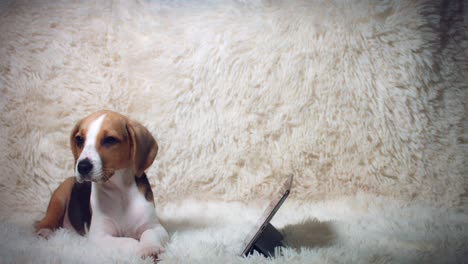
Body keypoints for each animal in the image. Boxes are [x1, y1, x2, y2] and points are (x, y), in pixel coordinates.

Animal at [35, 109, 170, 260]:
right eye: (79, 139)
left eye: (110, 140)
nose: (82, 167)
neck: (120, 191)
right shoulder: (99, 236)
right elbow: (128, 241)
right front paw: (138, 246)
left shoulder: (156, 227)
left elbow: (149, 232)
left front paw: (150, 248)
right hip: (60, 196)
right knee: (46, 220)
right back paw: (45, 232)